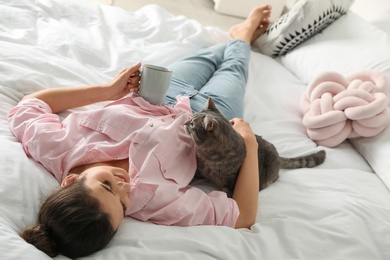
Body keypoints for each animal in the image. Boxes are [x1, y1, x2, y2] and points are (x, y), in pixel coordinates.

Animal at [186, 98, 326, 197]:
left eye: (192, 124)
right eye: (190, 118)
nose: (185, 122)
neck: (208, 157)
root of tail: (278, 155)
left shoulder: (230, 183)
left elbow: (227, 195)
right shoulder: (201, 169)